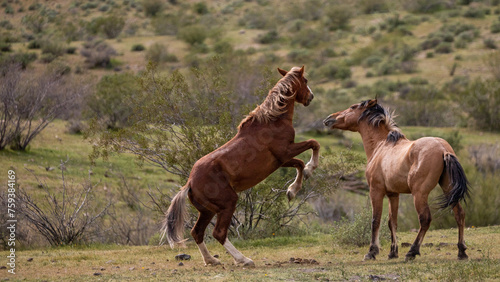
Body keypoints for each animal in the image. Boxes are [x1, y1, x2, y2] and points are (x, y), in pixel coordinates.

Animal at [162, 65, 322, 266]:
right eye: (305, 80)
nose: (311, 97)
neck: (272, 120)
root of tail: (189, 183)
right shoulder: (284, 153)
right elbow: (311, 147)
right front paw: (299, 182)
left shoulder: (282, 160)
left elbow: (301, 161)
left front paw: (293, 189)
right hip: (228, 203)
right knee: (218, 233)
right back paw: (244, 260)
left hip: (207, 211)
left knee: (197, 232)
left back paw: (211, 260)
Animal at [322, 99, 470, 262]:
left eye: (353, 107)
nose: (329, 118)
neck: (381, 146)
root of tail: (443, 149)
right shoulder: (393, 194)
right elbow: (392, 222)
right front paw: (393, 252)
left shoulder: (376, 191)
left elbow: (375, 220)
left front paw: (372, 252)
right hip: (448, 189)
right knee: (459, 214)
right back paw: (461, 252)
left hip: (419, 194)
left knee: (425, 219)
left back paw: (412, 252)